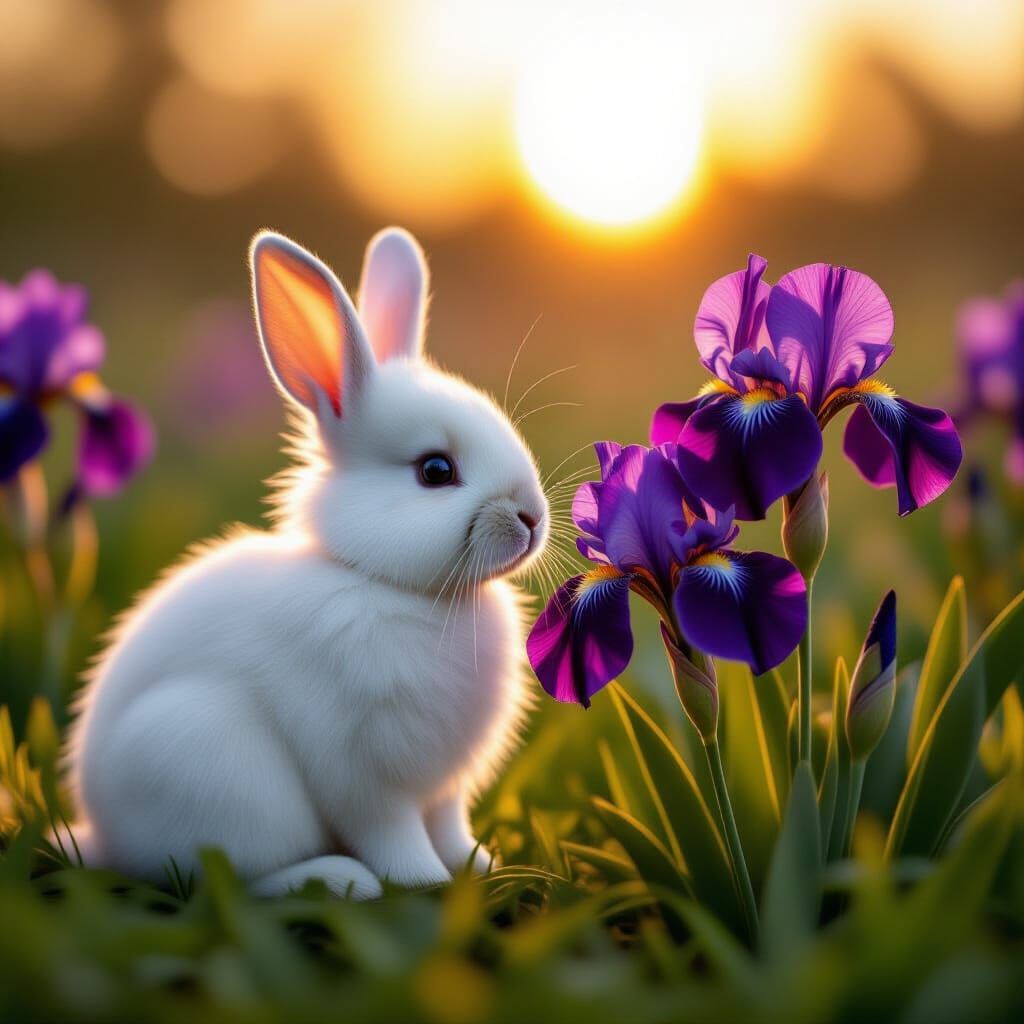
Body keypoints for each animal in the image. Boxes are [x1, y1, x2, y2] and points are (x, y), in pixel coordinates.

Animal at [65, 228, 548, 899]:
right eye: (435, 471)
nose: (532, 518)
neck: (389, 585)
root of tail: (104, 836)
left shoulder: (445, 789)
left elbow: (451, 828)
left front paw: (481, 866)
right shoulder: (365, 778)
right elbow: (393, 836)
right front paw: (425, 883)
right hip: (212, 769)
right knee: (230, 877)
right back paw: (340, 879)